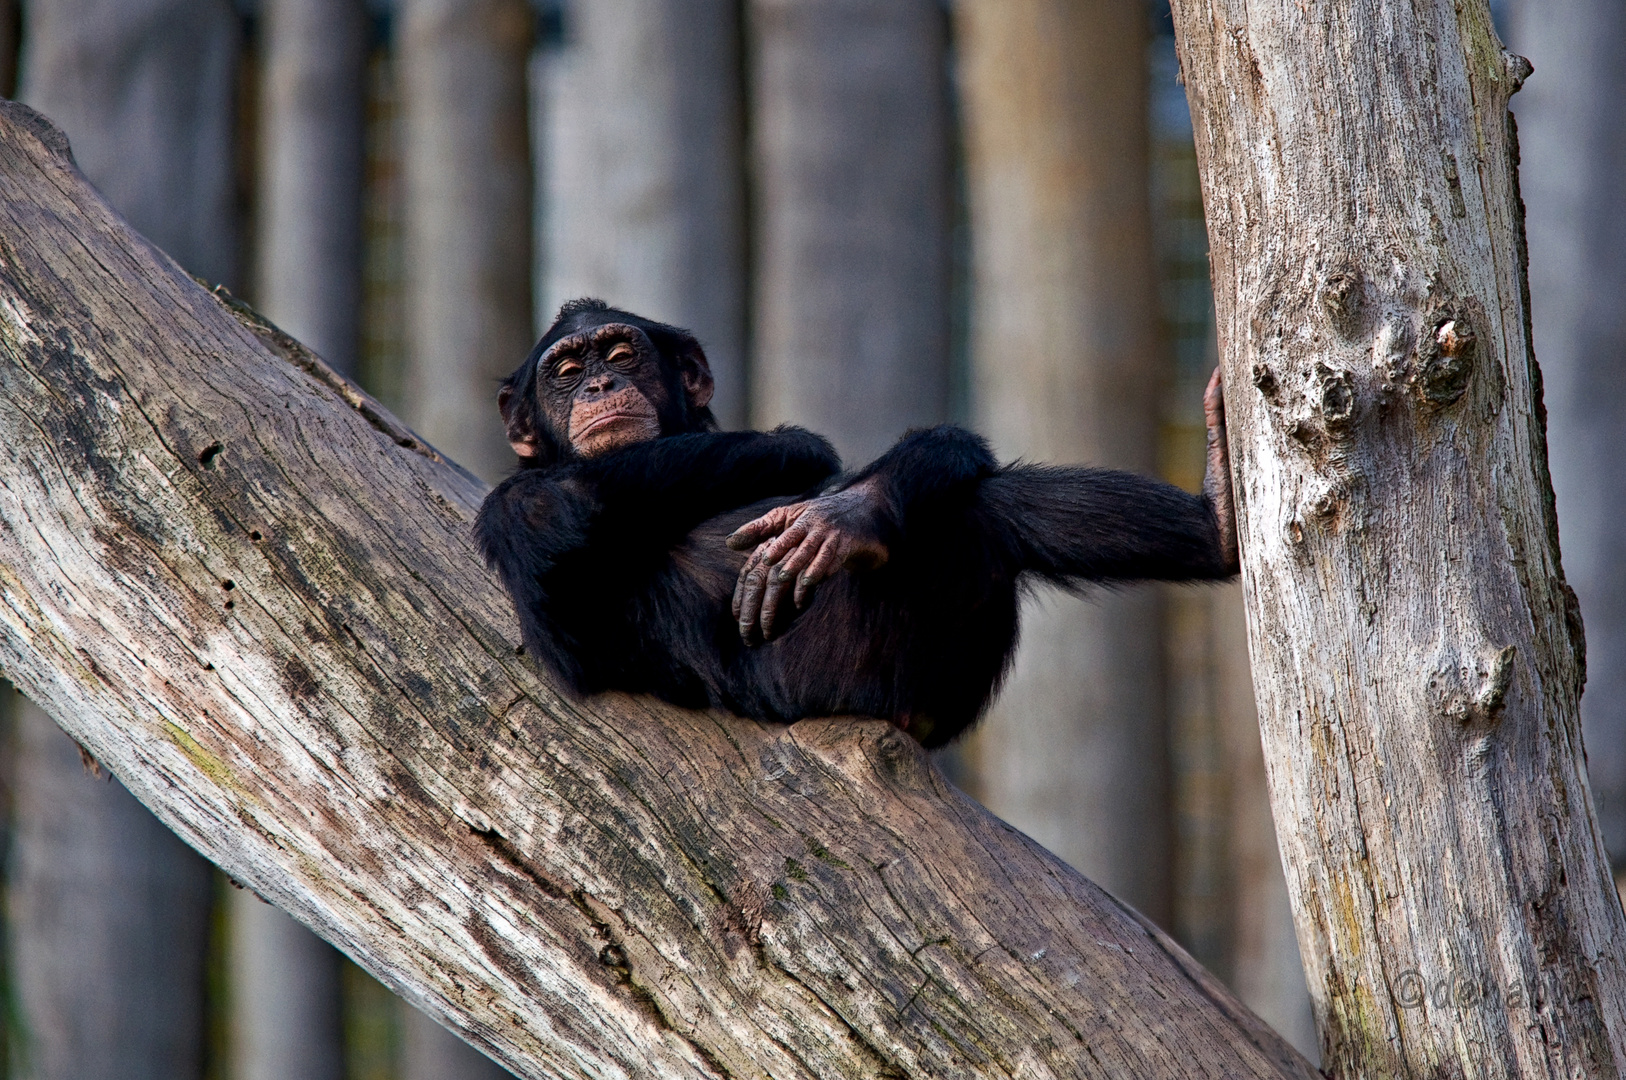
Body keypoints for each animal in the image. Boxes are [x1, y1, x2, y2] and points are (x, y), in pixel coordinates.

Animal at [474, 299, 1235, 748]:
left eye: (621, 353)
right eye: (565, 370)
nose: (599, 385)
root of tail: (916, 720)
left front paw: (851, 509)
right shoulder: (510, 514)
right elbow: (564, 514)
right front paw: (799, 451)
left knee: (988, 505)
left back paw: (1218, 522)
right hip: (837, 673)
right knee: (982, 514)